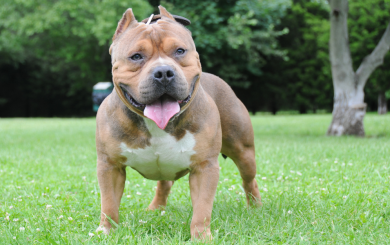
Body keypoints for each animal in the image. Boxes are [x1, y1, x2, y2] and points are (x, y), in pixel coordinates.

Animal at [94, 5, 260, 239]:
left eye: (180, 51)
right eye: (136, 56)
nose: (163, 72)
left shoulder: (204, 167)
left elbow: (202, 209)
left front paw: (201, 236)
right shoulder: (110, 166)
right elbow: (108, 204)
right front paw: (106, 231)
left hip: (243, 152)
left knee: (249, 180)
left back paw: (256, 208)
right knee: (164, 183)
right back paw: (155, 209)